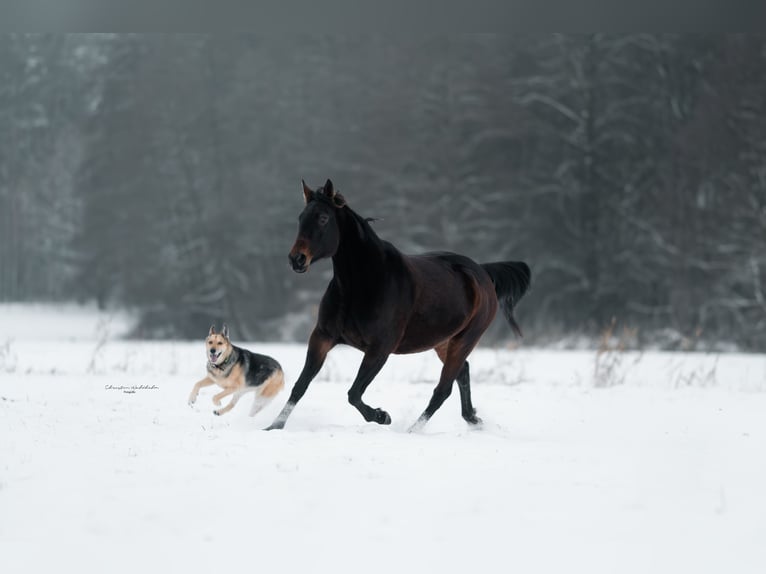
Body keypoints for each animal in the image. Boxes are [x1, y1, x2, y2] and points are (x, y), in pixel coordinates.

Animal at [268, 180, 532, 432]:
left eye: (323, 218)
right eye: (301, 218)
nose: (297, 259)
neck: (362, 284)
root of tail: (483, 273)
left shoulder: (380, 348)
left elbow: (354, 393)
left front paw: (382, 416)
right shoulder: (323, 336)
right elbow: (300, 386)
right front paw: (273, 427)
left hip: (466, 339)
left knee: (443, 389)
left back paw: (413, 430)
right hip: (443, 341)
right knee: (462, 373)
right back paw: (473, 419)